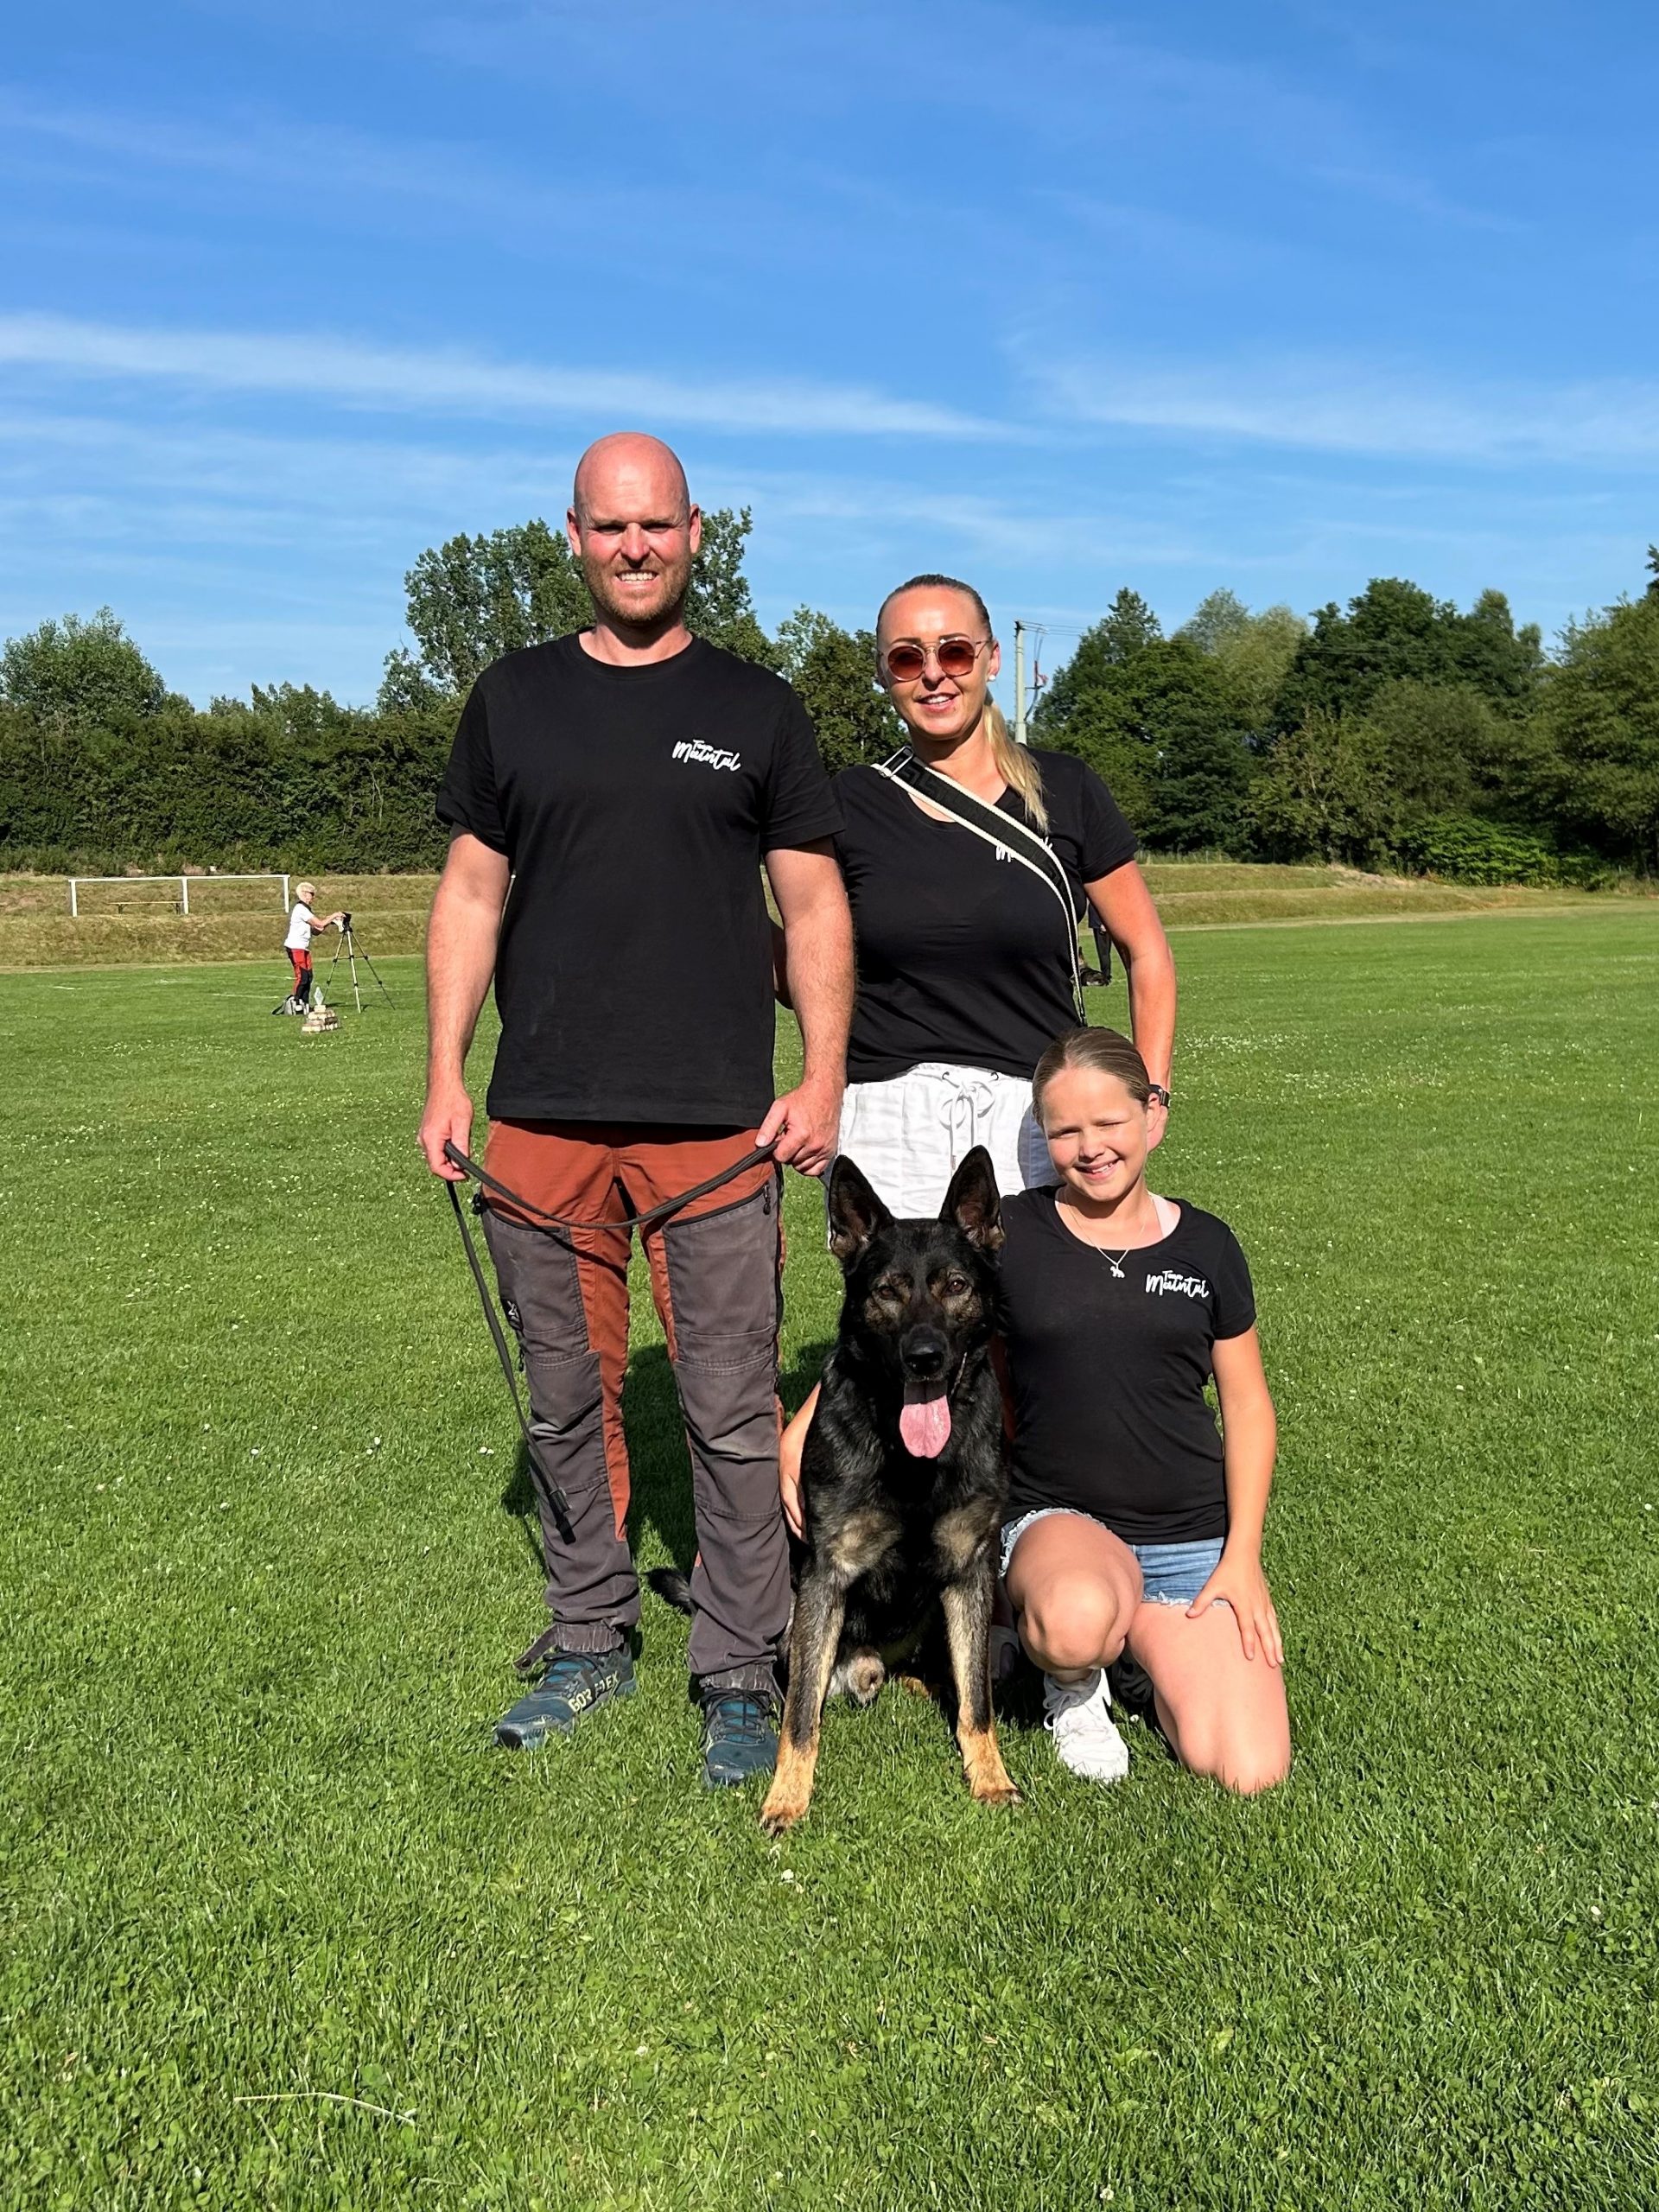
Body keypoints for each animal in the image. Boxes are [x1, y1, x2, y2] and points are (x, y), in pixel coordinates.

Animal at [758, 1145, 1019, 1835]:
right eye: (887, 1292)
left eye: (955, 1286)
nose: (925, 1356)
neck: (912, 1462)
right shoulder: (824, 1576)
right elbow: (801, 1717)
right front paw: (787, 1796)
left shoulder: (970, 1571)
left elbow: (978, 1701)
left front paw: (990, 1776)